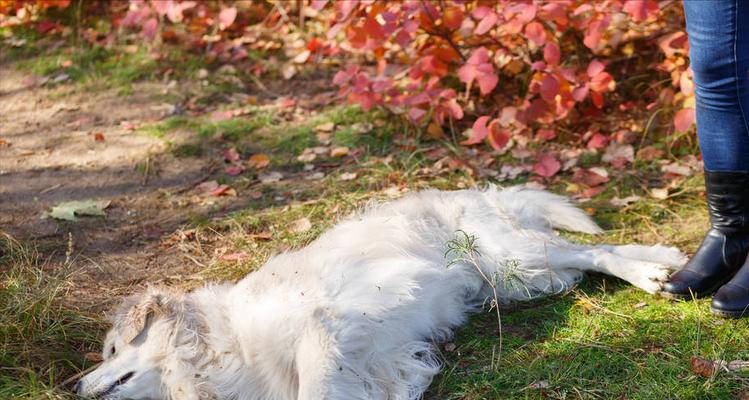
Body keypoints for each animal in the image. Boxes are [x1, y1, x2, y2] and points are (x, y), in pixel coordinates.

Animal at [73, 188, 688, 400]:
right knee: (590, 256)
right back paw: (663, 264)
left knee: (594, 252)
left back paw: (659, 272)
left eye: (111, 350)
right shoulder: (377, 357)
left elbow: (316, 390)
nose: (74, 386)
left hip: (510, 256)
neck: (213, 349)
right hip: (516, 280)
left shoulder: (325, 328)